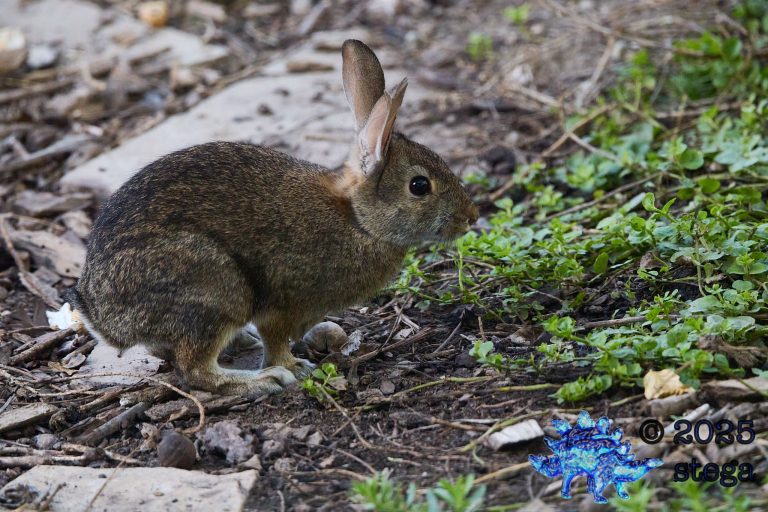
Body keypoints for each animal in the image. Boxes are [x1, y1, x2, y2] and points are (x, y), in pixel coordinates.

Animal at [68, 40, 478, 398]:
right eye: (419, 186)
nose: (471, 218)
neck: (357, 219)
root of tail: (101, 316)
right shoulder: (283, 305)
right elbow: (276, 340)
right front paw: (294, 368)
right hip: (217, 286)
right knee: (195, 369)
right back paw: (263, 380)